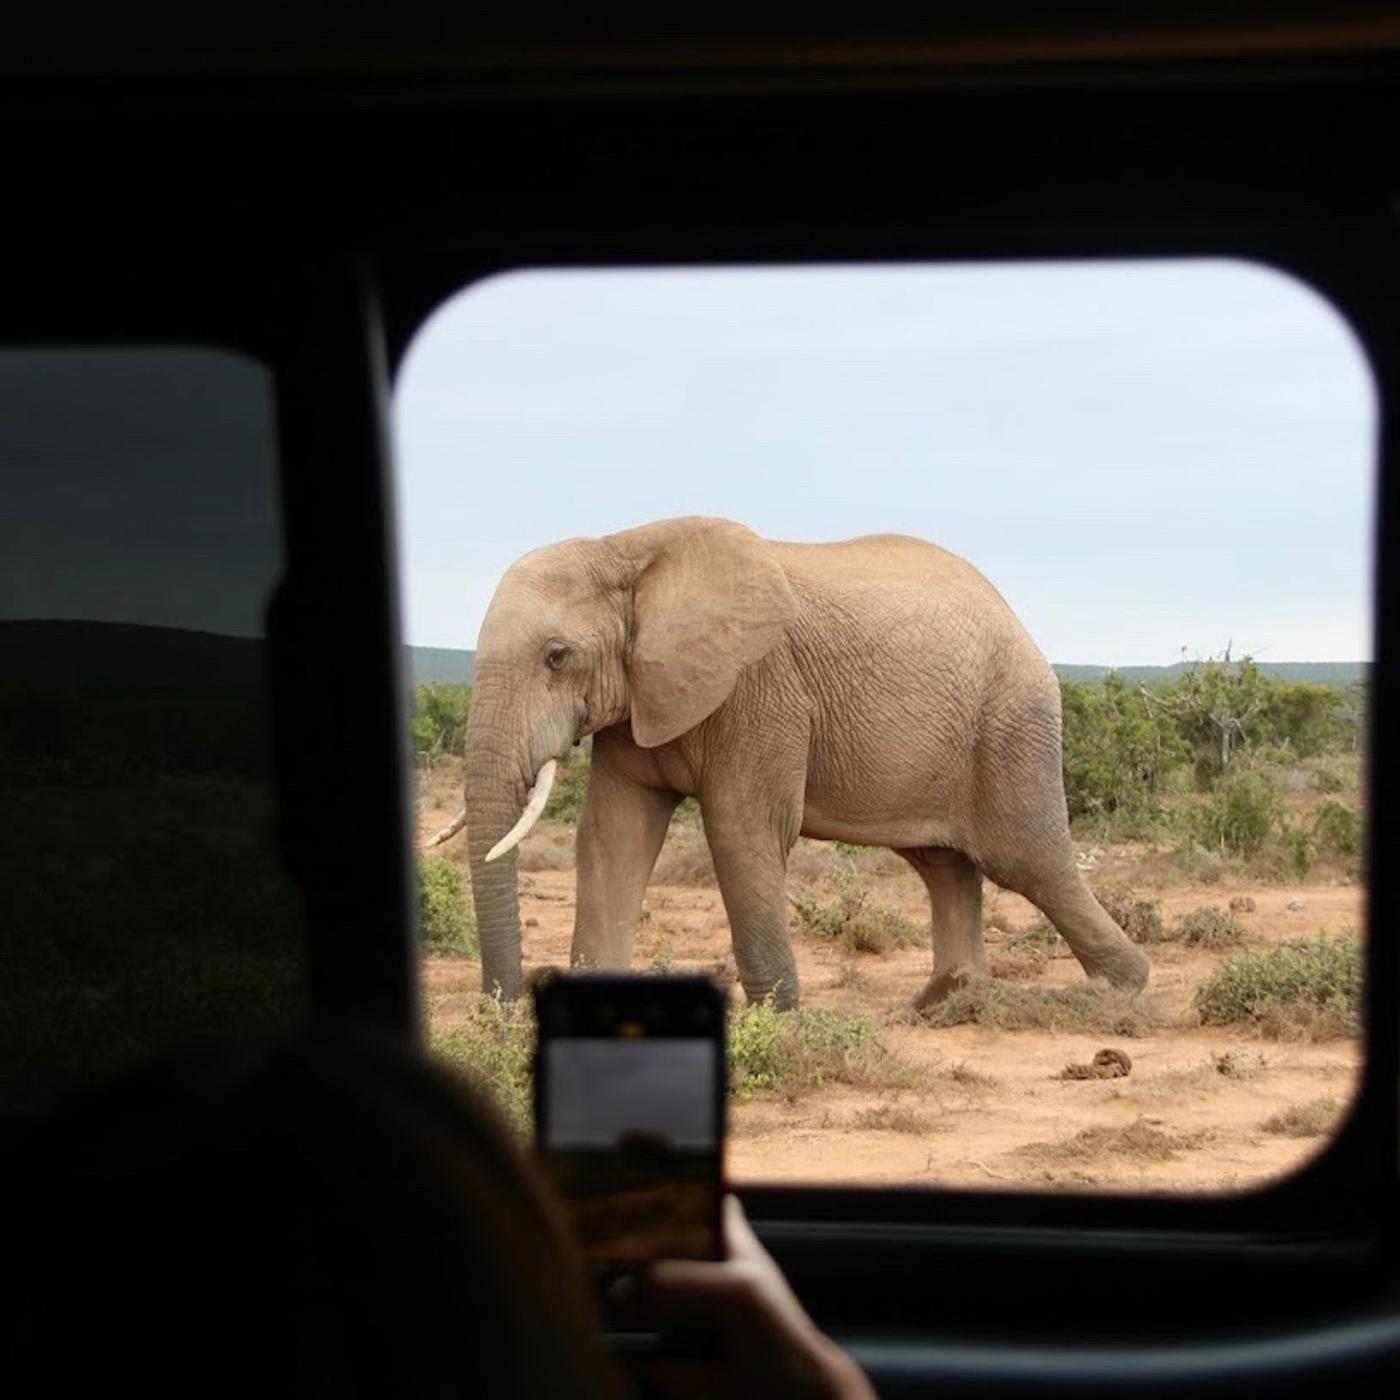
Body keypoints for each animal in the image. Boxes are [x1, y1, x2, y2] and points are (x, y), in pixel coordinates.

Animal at [431, 515, 1153, 1008]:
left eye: (557, 657)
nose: (506, 1005)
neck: (628, 547)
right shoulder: (640, 699)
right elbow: (613, 836)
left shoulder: (761, 690)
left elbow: (740, 829)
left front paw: (778, 1020)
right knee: (943, 865)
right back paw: (945, 1005)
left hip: (1011, 721)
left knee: (1026, 860)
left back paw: (1121, 991)